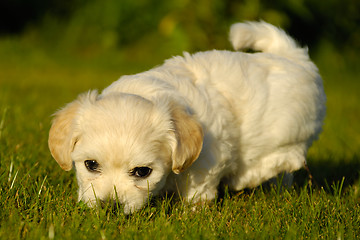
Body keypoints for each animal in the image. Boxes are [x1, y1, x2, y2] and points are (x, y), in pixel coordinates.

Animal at [47, 21, 326, 214]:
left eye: (142, 172)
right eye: (91, 165)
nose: (110, 207)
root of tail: (294, 58)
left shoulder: (208, 158)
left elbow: (198, 190)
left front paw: (192, 213)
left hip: (291, 132)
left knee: (290, 158)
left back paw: (247, 176)